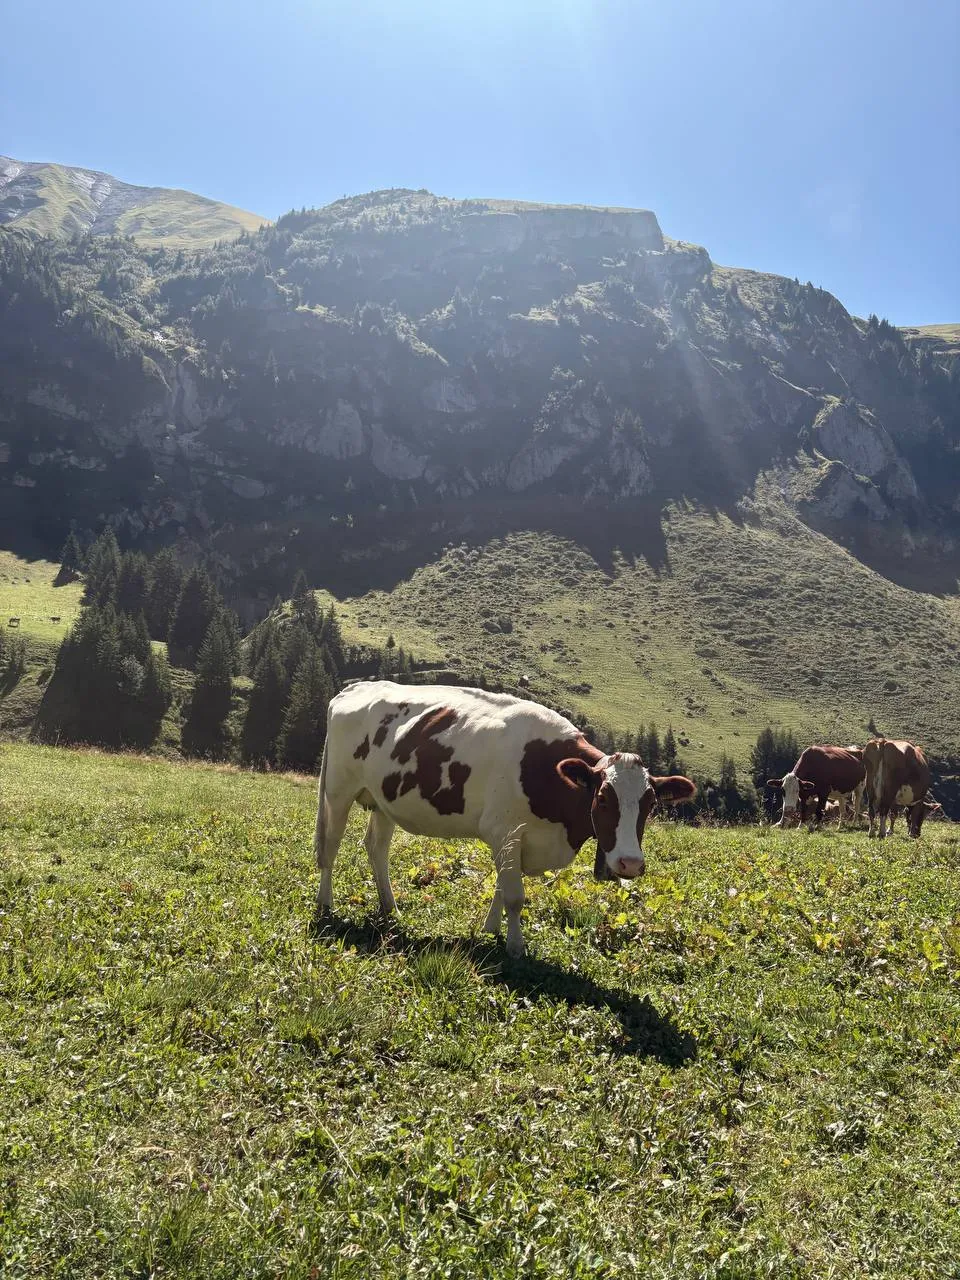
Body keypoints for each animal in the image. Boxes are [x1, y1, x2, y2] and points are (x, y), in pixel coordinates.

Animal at [314, 681, 696, 957]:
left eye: (650, 804)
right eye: (602, 799)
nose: (630, 864)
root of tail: (357, 686)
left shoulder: (513, 840)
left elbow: (501, 885)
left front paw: (491, 929)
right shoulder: (505, 831)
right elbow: (514, 894)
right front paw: (515, 946)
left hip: (383, 800)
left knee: (376, 848)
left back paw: (390, 908)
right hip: (337, 790)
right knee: (330, 846)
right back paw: (325, 904)